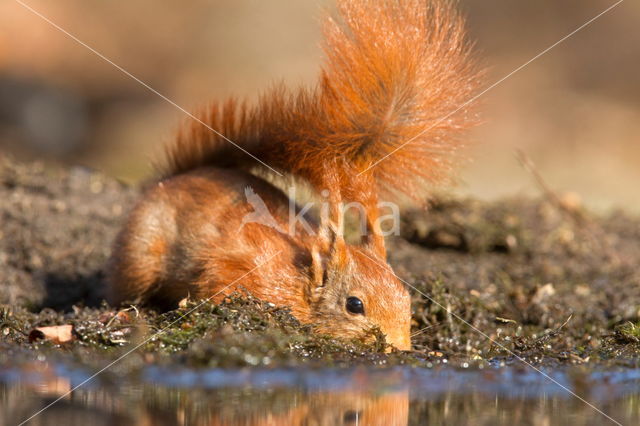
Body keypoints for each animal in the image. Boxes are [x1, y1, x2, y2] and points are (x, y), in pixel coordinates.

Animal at [109, 0, 480, 352]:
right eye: (354, 305)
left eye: (406, 297)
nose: (398, 347)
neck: (300, 280)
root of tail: (176, 177)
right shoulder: (238, 270)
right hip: (141, 254)